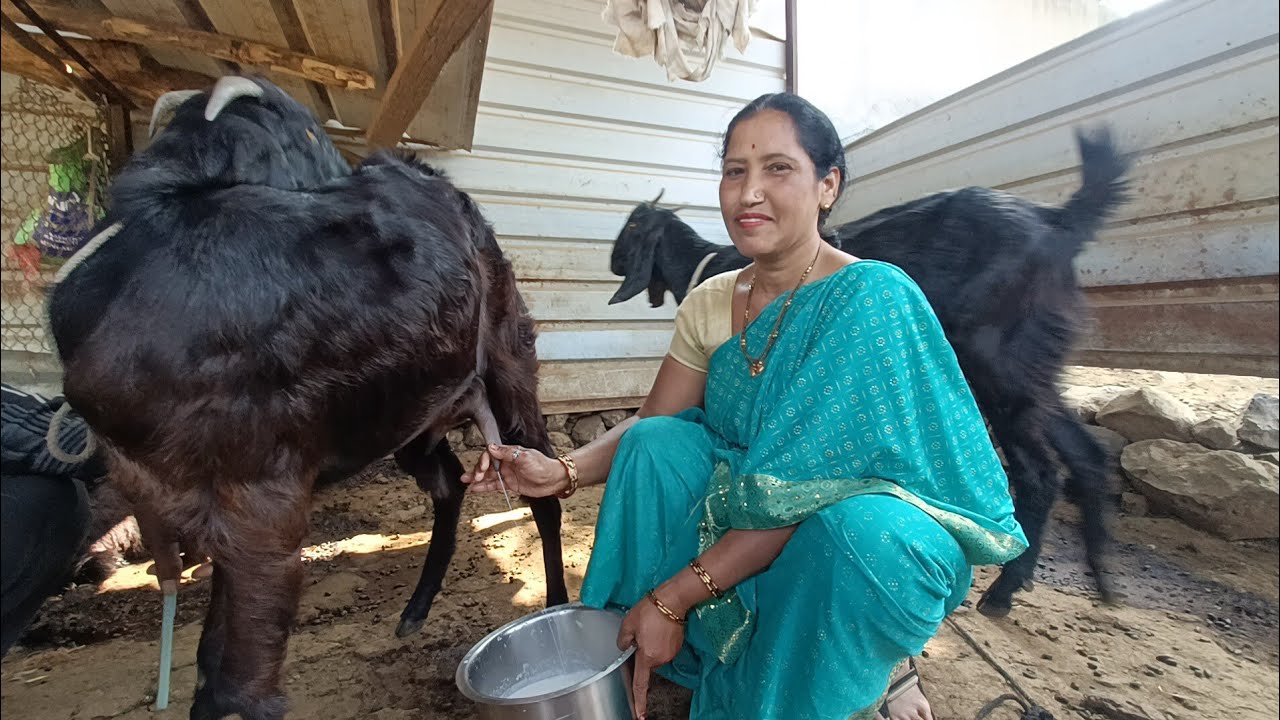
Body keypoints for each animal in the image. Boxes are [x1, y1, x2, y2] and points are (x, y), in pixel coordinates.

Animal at [46, 75, 567, 720]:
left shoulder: (264, 496)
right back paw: (415, 611)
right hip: (407, 412)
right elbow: (210, 655)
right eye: (311, 136)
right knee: (447, 482)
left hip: (509, 359)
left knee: (543, 492)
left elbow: (243, 679)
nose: (370, 184)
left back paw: (557, 606)